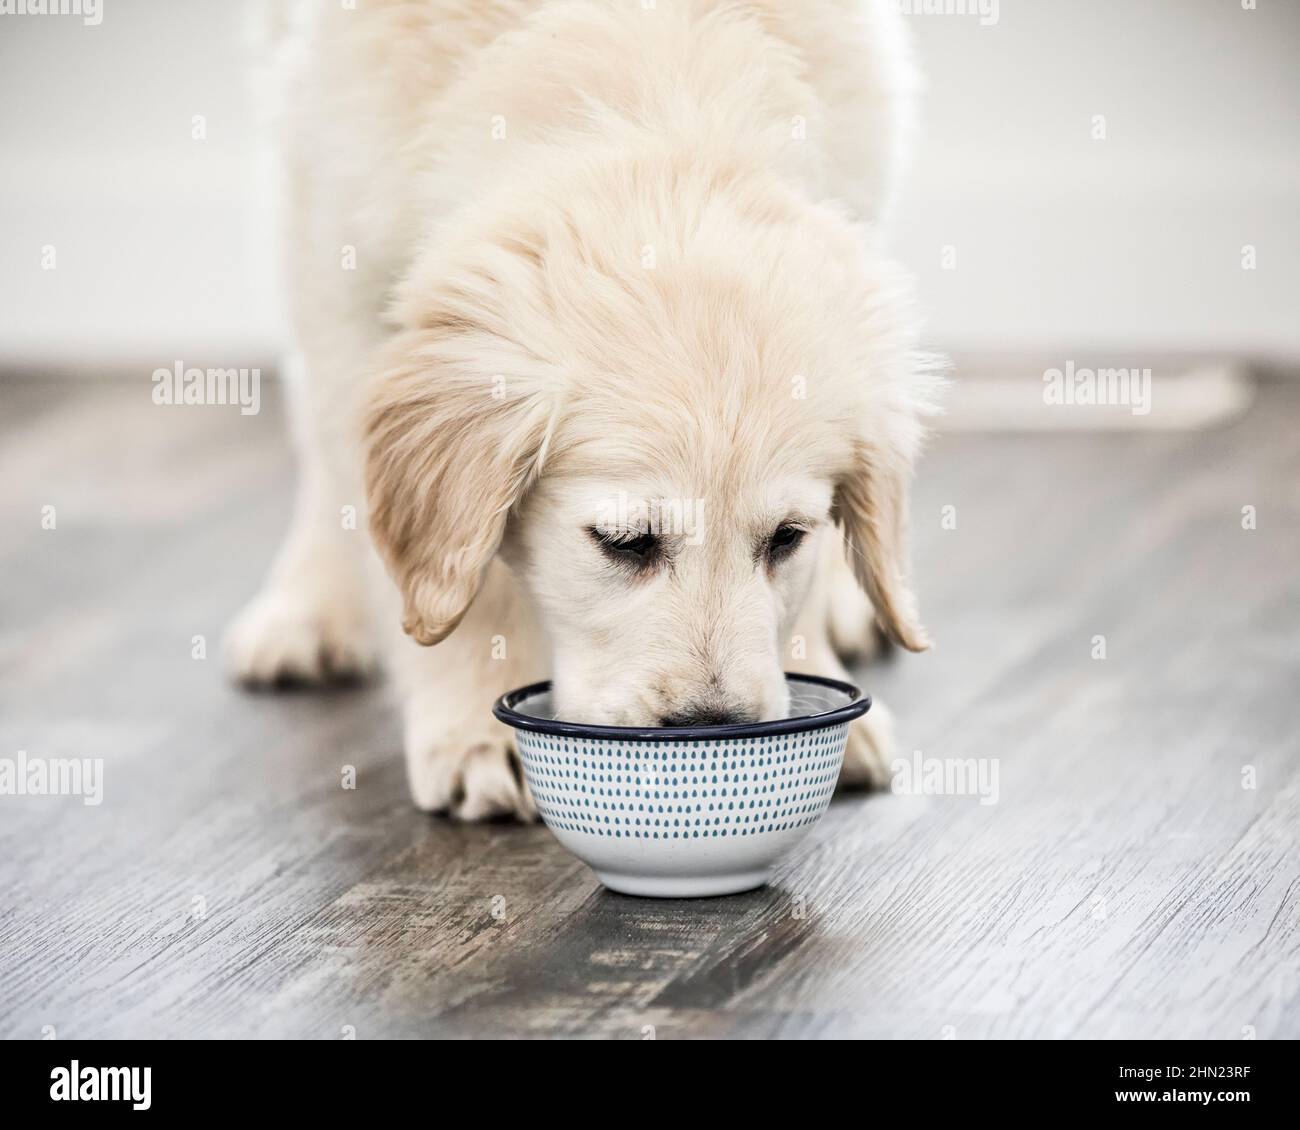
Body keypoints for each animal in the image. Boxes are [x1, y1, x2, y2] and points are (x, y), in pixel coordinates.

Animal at [223, 0, 935, 816]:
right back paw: (307, 607)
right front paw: (478, 725)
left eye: (786, 538)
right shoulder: (342, 265)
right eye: (624, 543)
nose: (713, 729)